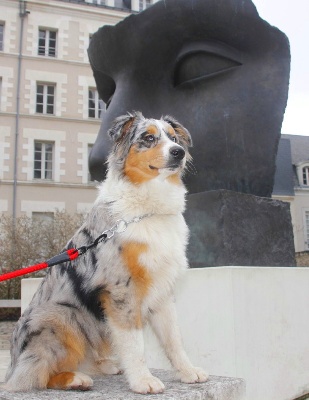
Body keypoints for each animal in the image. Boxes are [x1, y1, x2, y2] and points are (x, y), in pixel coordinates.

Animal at [4, 111, 207, 392]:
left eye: (174, 138)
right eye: (148, 138)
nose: (179, 152)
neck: (148, 208)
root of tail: (13, 364)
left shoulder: (162, 290)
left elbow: (173, 339)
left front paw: (188, 372)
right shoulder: (121, 290)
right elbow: (135, 344)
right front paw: (143, 380)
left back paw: (105, 366)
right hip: (60, 315)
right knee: (36, 374)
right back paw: (75, 379)